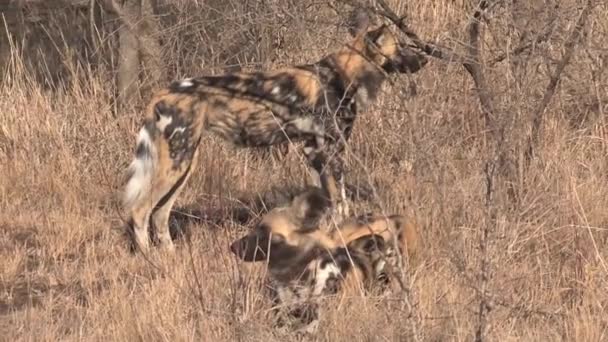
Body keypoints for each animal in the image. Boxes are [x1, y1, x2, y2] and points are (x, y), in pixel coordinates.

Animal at [122, 8, 428, 251]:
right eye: (401, 47)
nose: (423, 60)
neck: (344, 75)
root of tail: (162, 93)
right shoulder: (330, 150)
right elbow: (341, 202)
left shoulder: (314, 150)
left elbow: (328, 203)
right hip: (176, 162)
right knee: (139, 211)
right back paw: (150, 261)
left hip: (184, 163)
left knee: (160, 215)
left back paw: (170, 258)